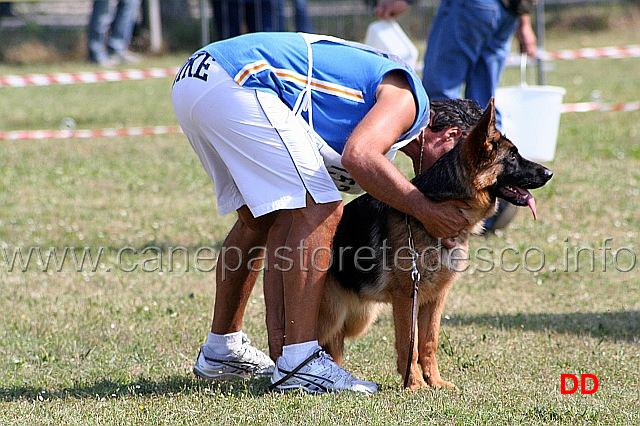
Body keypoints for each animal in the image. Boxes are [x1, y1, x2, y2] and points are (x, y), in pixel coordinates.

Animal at [318, 99, 552, 390]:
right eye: (511, 157)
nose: (549, 172)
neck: (447, 204)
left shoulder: (436, 297)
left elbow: (429, 342)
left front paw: (435, 382)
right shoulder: (407, 295)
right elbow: (409, 344)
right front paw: (414, 385)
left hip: (355, 318)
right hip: (331, 316)